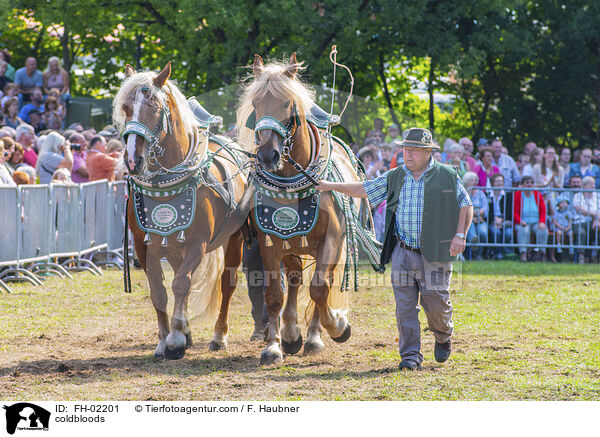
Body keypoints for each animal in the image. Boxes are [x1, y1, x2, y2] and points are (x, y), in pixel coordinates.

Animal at [113, 63, 252, 360]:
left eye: (154, 105)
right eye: (126, 107)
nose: (132, 159)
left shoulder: (197, 243)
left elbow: (180, 285)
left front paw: (175, 341)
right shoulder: (143, 246)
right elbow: (159, 291)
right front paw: (165, 340)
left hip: (234, 239)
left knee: (226, 283)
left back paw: (218, 336)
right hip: (175, 248)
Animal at [238, 53, 380, 364]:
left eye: (288, 104)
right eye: (256, 104)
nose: (268, 155)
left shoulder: (331, 240)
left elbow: (319, 289)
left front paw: (337, 326)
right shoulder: (269, 241)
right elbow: (274, 295)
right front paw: (274, 346)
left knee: (322, 282)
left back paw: (314, 336)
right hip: (293, 245)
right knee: (293, 279)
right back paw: (291, 334)